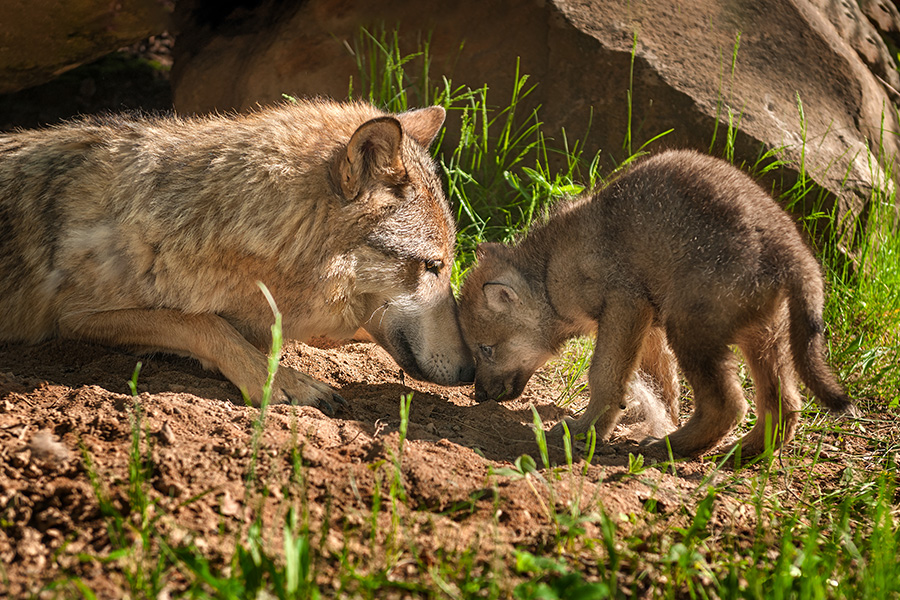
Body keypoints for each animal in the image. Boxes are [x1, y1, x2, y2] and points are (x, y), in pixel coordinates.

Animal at [0, 99, 474, 418]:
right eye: (432, 266)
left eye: (448, 264)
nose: (470, 371)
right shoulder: (76, 318)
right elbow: (203, 322)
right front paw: (284, 381)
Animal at [460, 149, 856, 454]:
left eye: (486, 349)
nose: (478, 395)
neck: (549, 270)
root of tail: (791, 253)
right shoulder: (648, 322)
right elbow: (662, 385)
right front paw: (658, 417)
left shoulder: (625, 305)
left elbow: (606, 377)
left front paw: (586, 431)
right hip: (761, 339)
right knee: (783, 406)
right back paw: (739, 454)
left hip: (691, 331)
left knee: (728, 405)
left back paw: (670, 447)